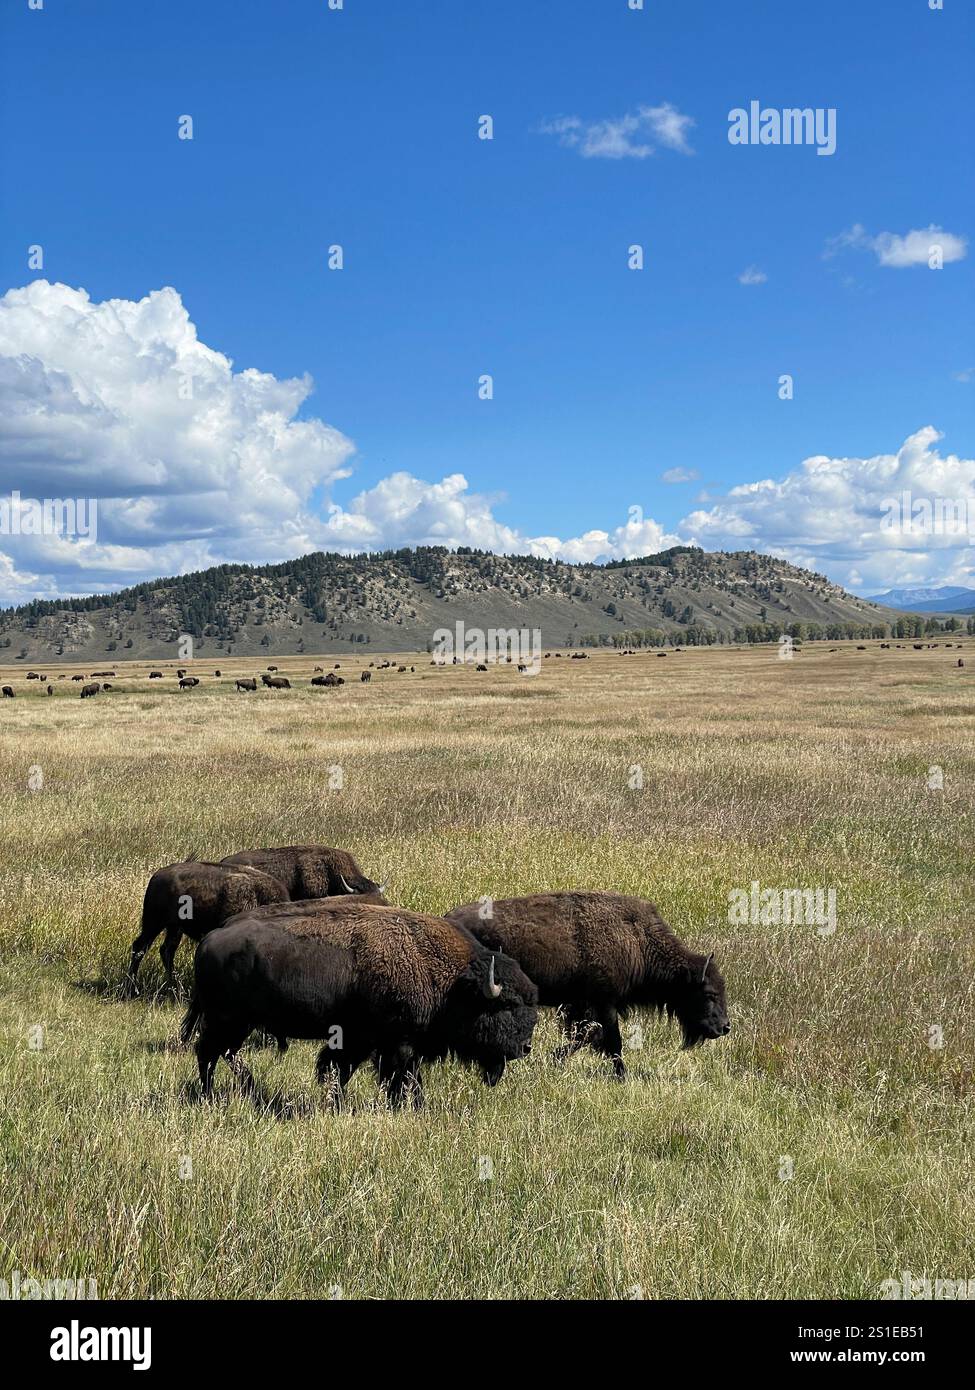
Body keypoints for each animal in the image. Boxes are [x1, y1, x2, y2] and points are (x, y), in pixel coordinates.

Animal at [125, 860, 290, 994]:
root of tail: (157, 875)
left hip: (174, 928)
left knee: (166, 951)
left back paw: (174, 989)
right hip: (154, 923)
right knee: (140, 948)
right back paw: (132, 989)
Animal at [185, 901, 538, 1105]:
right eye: (507, 1005)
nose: (525, 1048)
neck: (452, 981)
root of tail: (211, 938)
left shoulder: (360, 1040)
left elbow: (340, 1069)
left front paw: (336, 1102)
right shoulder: (398, 1043)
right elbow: (401, 1076)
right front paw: (413, 1105)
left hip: (237, 1024)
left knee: (222, 1053)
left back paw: (242, 1089)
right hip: (227, 1020)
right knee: (208, 1053)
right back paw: (208, 1096)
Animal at [445, 892, 729, 1078]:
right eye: (710, 993)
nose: (725, 1027)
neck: (637, 939)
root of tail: (450, 918)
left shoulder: (582, 1005)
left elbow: (588, 1034)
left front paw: (554, 1059)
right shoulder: (603, 1003)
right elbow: (610, 1040)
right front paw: (621, 1076)